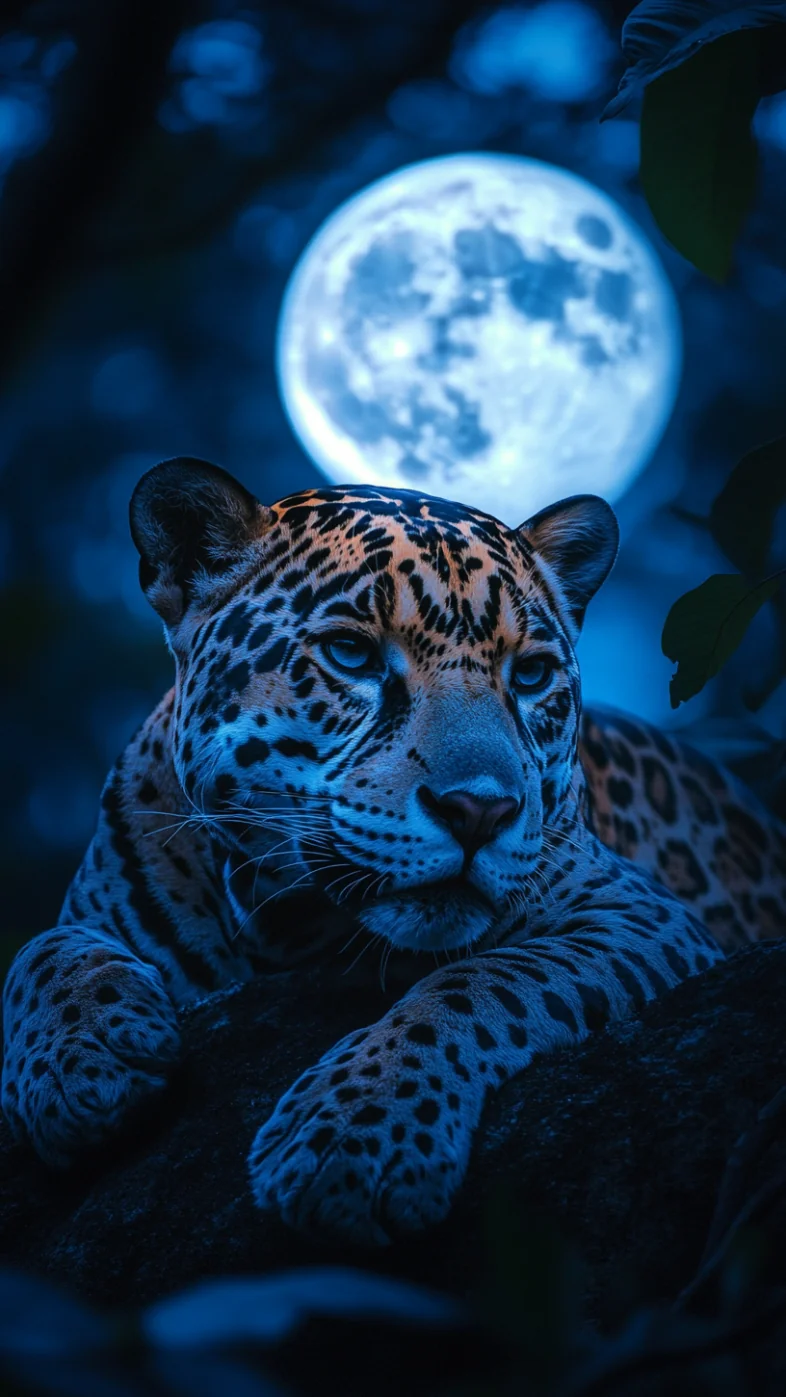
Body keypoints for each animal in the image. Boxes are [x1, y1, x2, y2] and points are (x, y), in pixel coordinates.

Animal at [3, 457, 785, 1246]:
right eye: (351, 655)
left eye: (531, 676)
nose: (479, 810)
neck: (282, 928)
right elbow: (40, 948)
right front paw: (76, 1066)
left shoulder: (639, 912)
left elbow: (483, 979)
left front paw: (355, 1135)